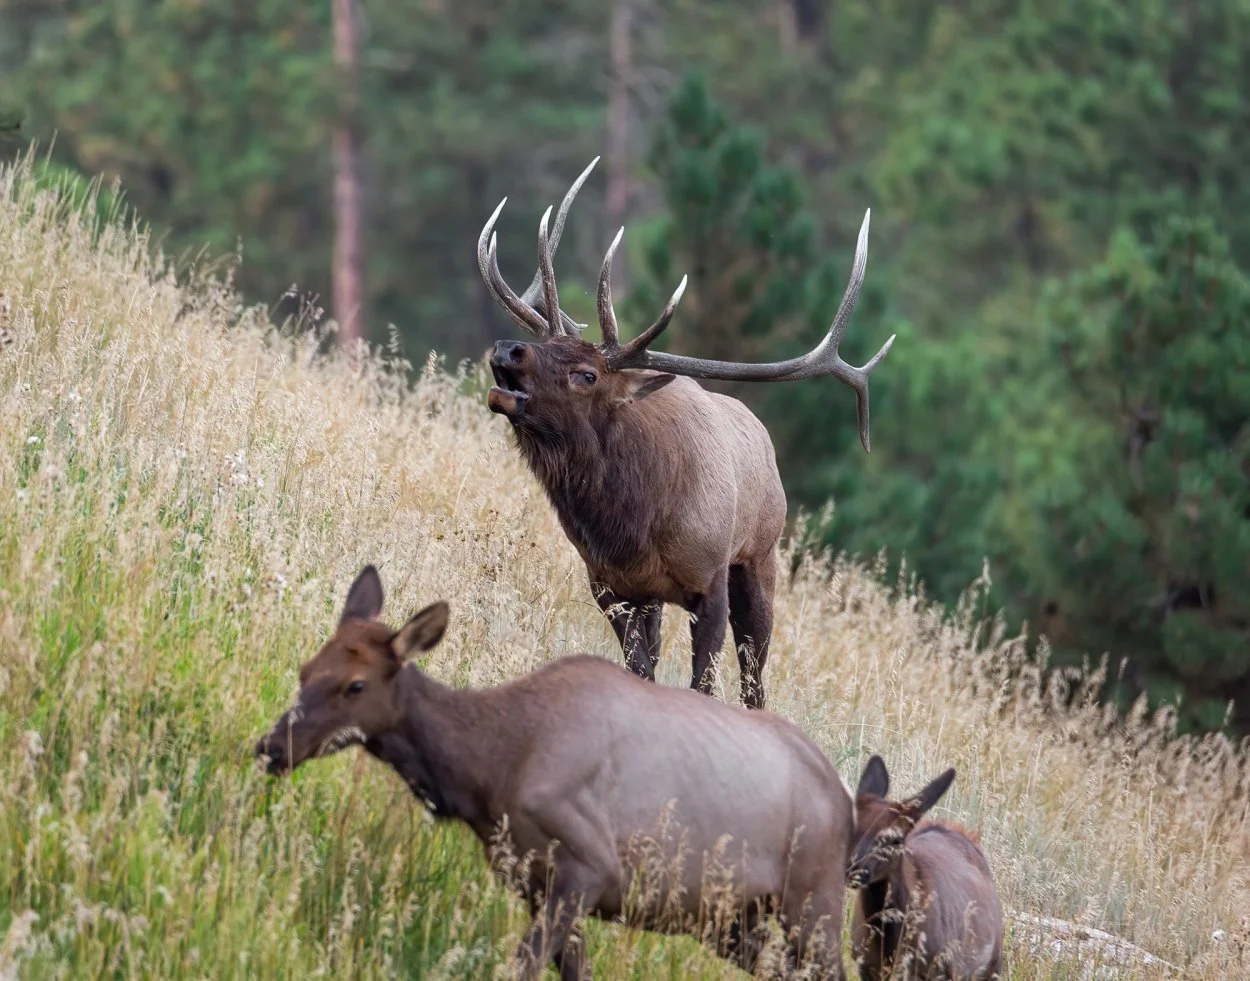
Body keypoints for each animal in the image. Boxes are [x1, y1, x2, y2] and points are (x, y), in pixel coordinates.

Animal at [255, 566, 856, 980]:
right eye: (306, 670)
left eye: (355, 685)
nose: (272, 746)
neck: (490, 766)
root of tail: (845, 800)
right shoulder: (533, 880)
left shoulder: (587, 868)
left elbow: (519, 967)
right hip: (731, 919)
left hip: (813, 902)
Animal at [475, 157, 895, 709]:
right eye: (546, 345)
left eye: (587, 375)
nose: (508, 348)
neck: (633, 523)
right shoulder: (612, 586)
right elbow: (639, 670)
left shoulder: (710, 579)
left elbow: (705, 682)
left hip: (760, 557)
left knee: (754, 676)